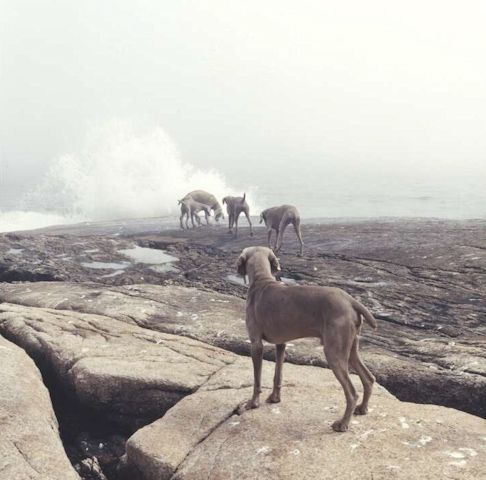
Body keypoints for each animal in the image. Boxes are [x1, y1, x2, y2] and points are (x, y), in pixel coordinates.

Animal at [237, 248, 378, 432]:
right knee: (368, 378)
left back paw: (342, 424)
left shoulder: (255, 344)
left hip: (334, 352)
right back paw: (363, 408)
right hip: (351, 347)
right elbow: (277, 375)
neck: (262, 281)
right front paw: (275, 398)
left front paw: (252, 403)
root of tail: (351, 300)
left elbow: (257, 379)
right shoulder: (281, 343)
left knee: (352, 392)